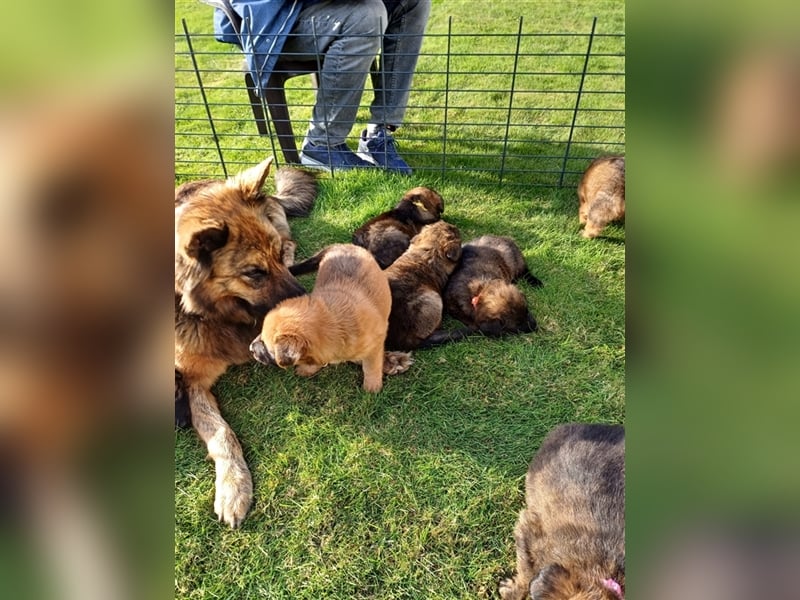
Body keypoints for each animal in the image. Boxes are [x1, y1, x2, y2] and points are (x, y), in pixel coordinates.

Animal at [250, 244, 400, 394]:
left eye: (266, 345)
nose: (250, 348)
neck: (333, 324)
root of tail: (343, 245)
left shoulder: (375, 346)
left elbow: (370, 366)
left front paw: (372, 385)